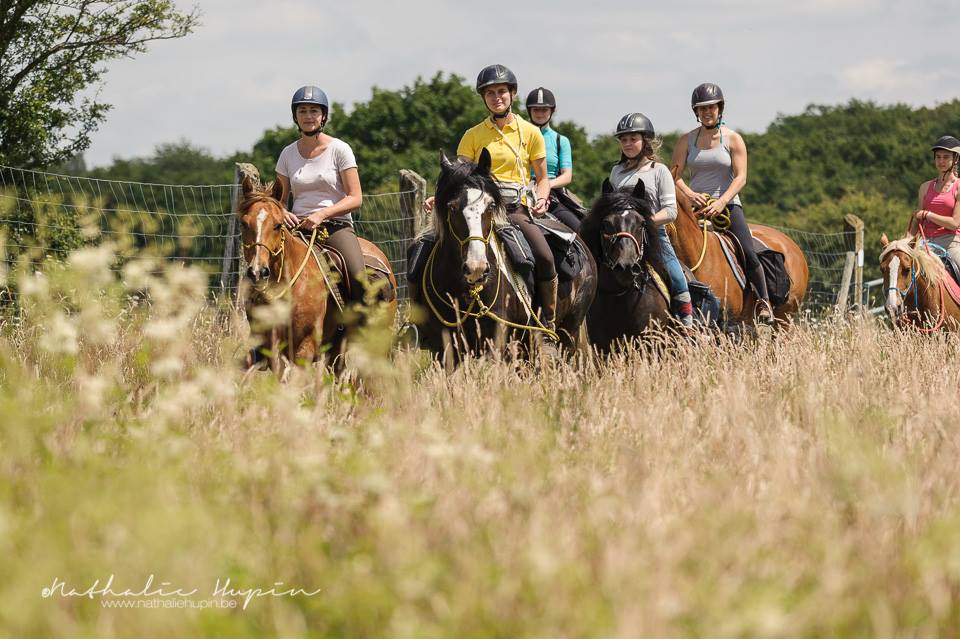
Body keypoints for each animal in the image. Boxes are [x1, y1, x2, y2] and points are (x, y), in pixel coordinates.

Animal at [410, 147, 596, 362]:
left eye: (490, 206)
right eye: (452, 207)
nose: (476, 268)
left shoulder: (497, 344)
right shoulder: (445, 348)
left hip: (569, 333)